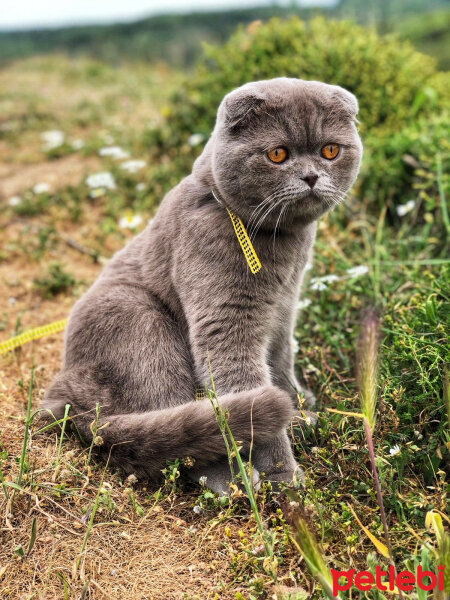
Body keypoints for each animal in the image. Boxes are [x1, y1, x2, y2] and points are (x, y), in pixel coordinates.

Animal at [43, 77, 362, 494]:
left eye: (330, 150)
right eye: (277, 153)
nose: (311, 176)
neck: (284, 245)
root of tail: (66, 396)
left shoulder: (284, 306)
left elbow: (280, 359)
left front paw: (300, 406)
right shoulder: (227, 317)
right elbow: (244, 382)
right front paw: (282, 472)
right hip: (140, 323)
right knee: (177, 427)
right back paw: (232, 479)